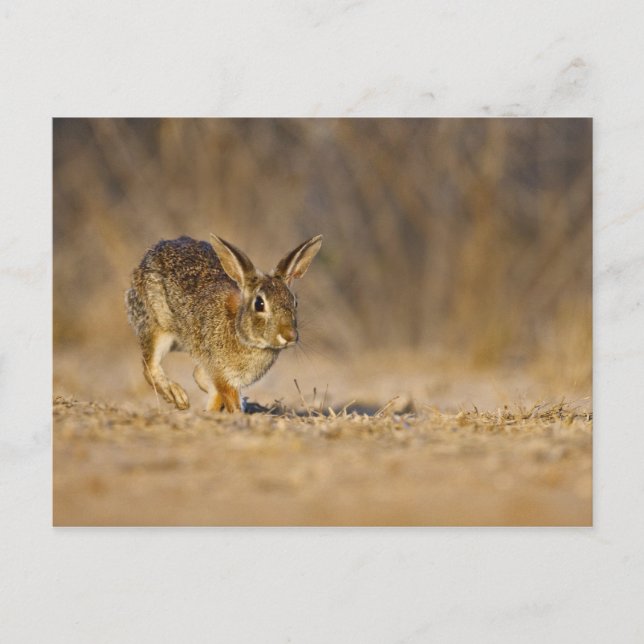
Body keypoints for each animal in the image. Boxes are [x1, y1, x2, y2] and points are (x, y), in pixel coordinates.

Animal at [125, 233, 322, 412]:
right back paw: (178, 396)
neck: (240, 331)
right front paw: (234, 415)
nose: (290, 335)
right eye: (259, 304)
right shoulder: (222, 374)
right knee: (150, 367)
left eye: (295, 302)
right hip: (157, 326)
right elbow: (228, 398)